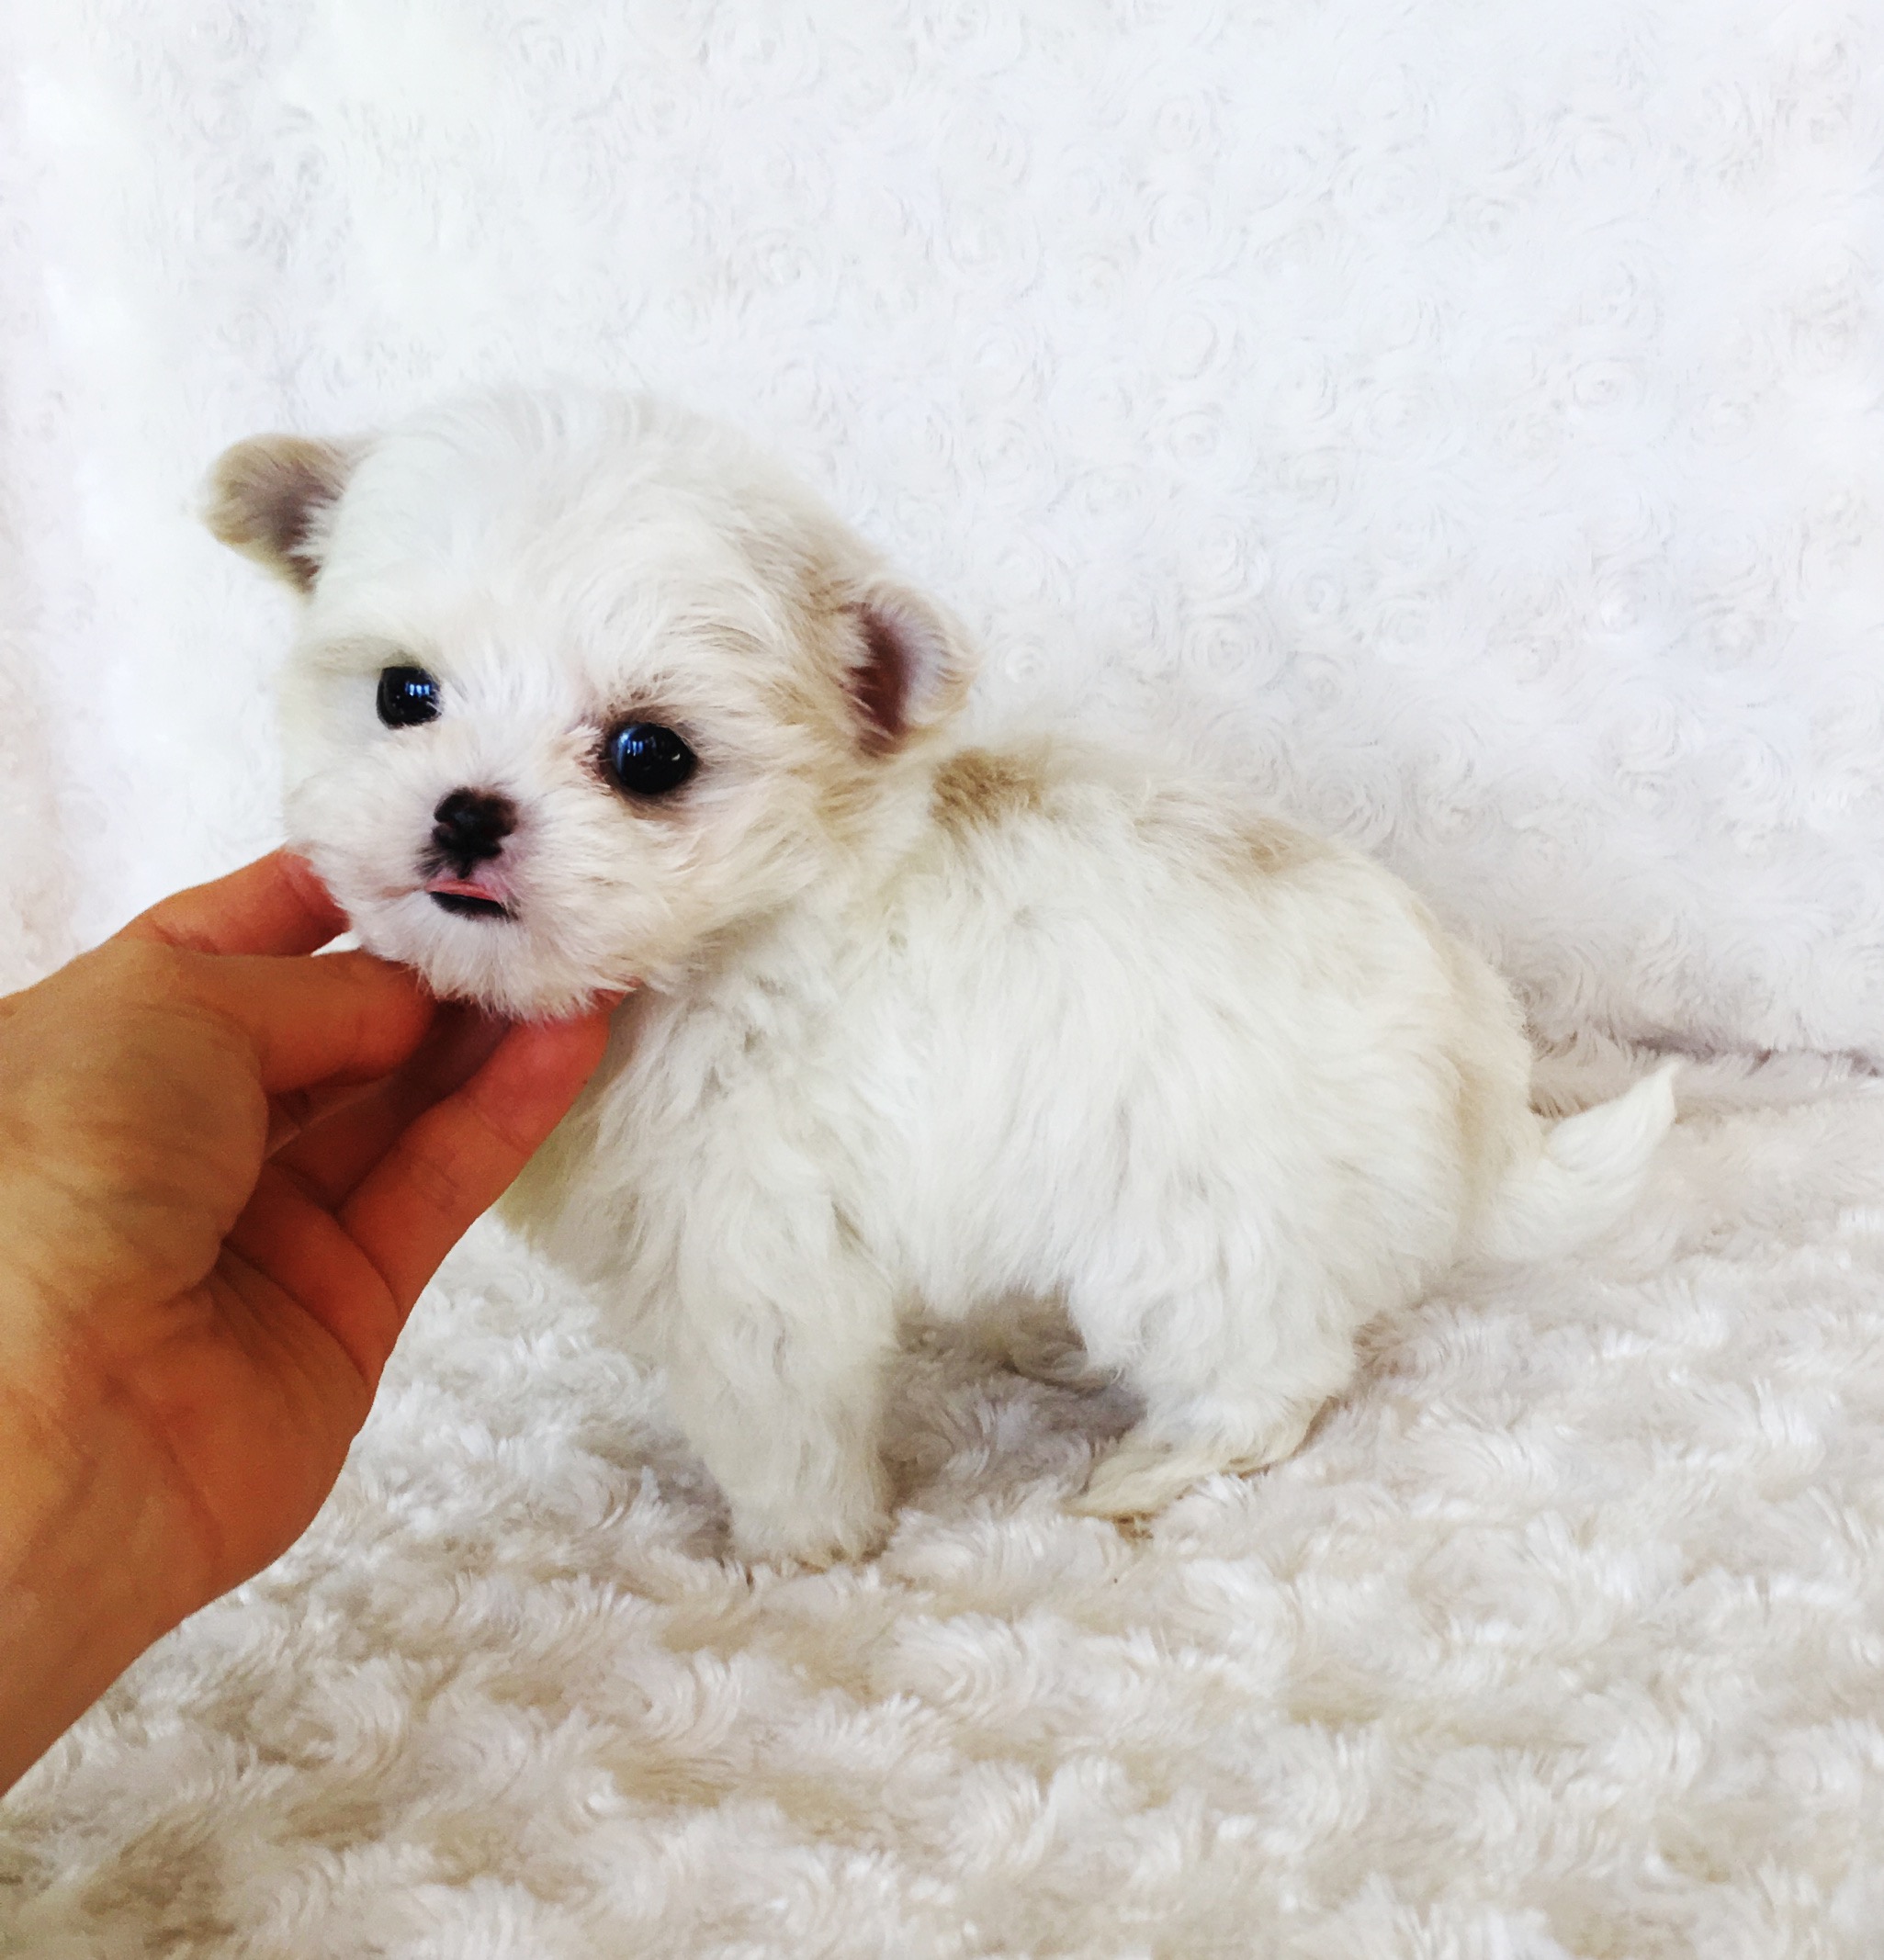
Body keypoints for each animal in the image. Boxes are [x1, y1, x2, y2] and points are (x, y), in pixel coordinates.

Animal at [209, 386, 1677, 1560]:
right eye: (403, 695)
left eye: (647, 756)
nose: (466, 814)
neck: (738, 932)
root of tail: (1478, 1076)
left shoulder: (750, 1251)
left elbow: (776, 1414)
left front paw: (797, 1550)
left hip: (1209, 1225)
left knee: (1265, 1373)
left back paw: (1151, 1468)